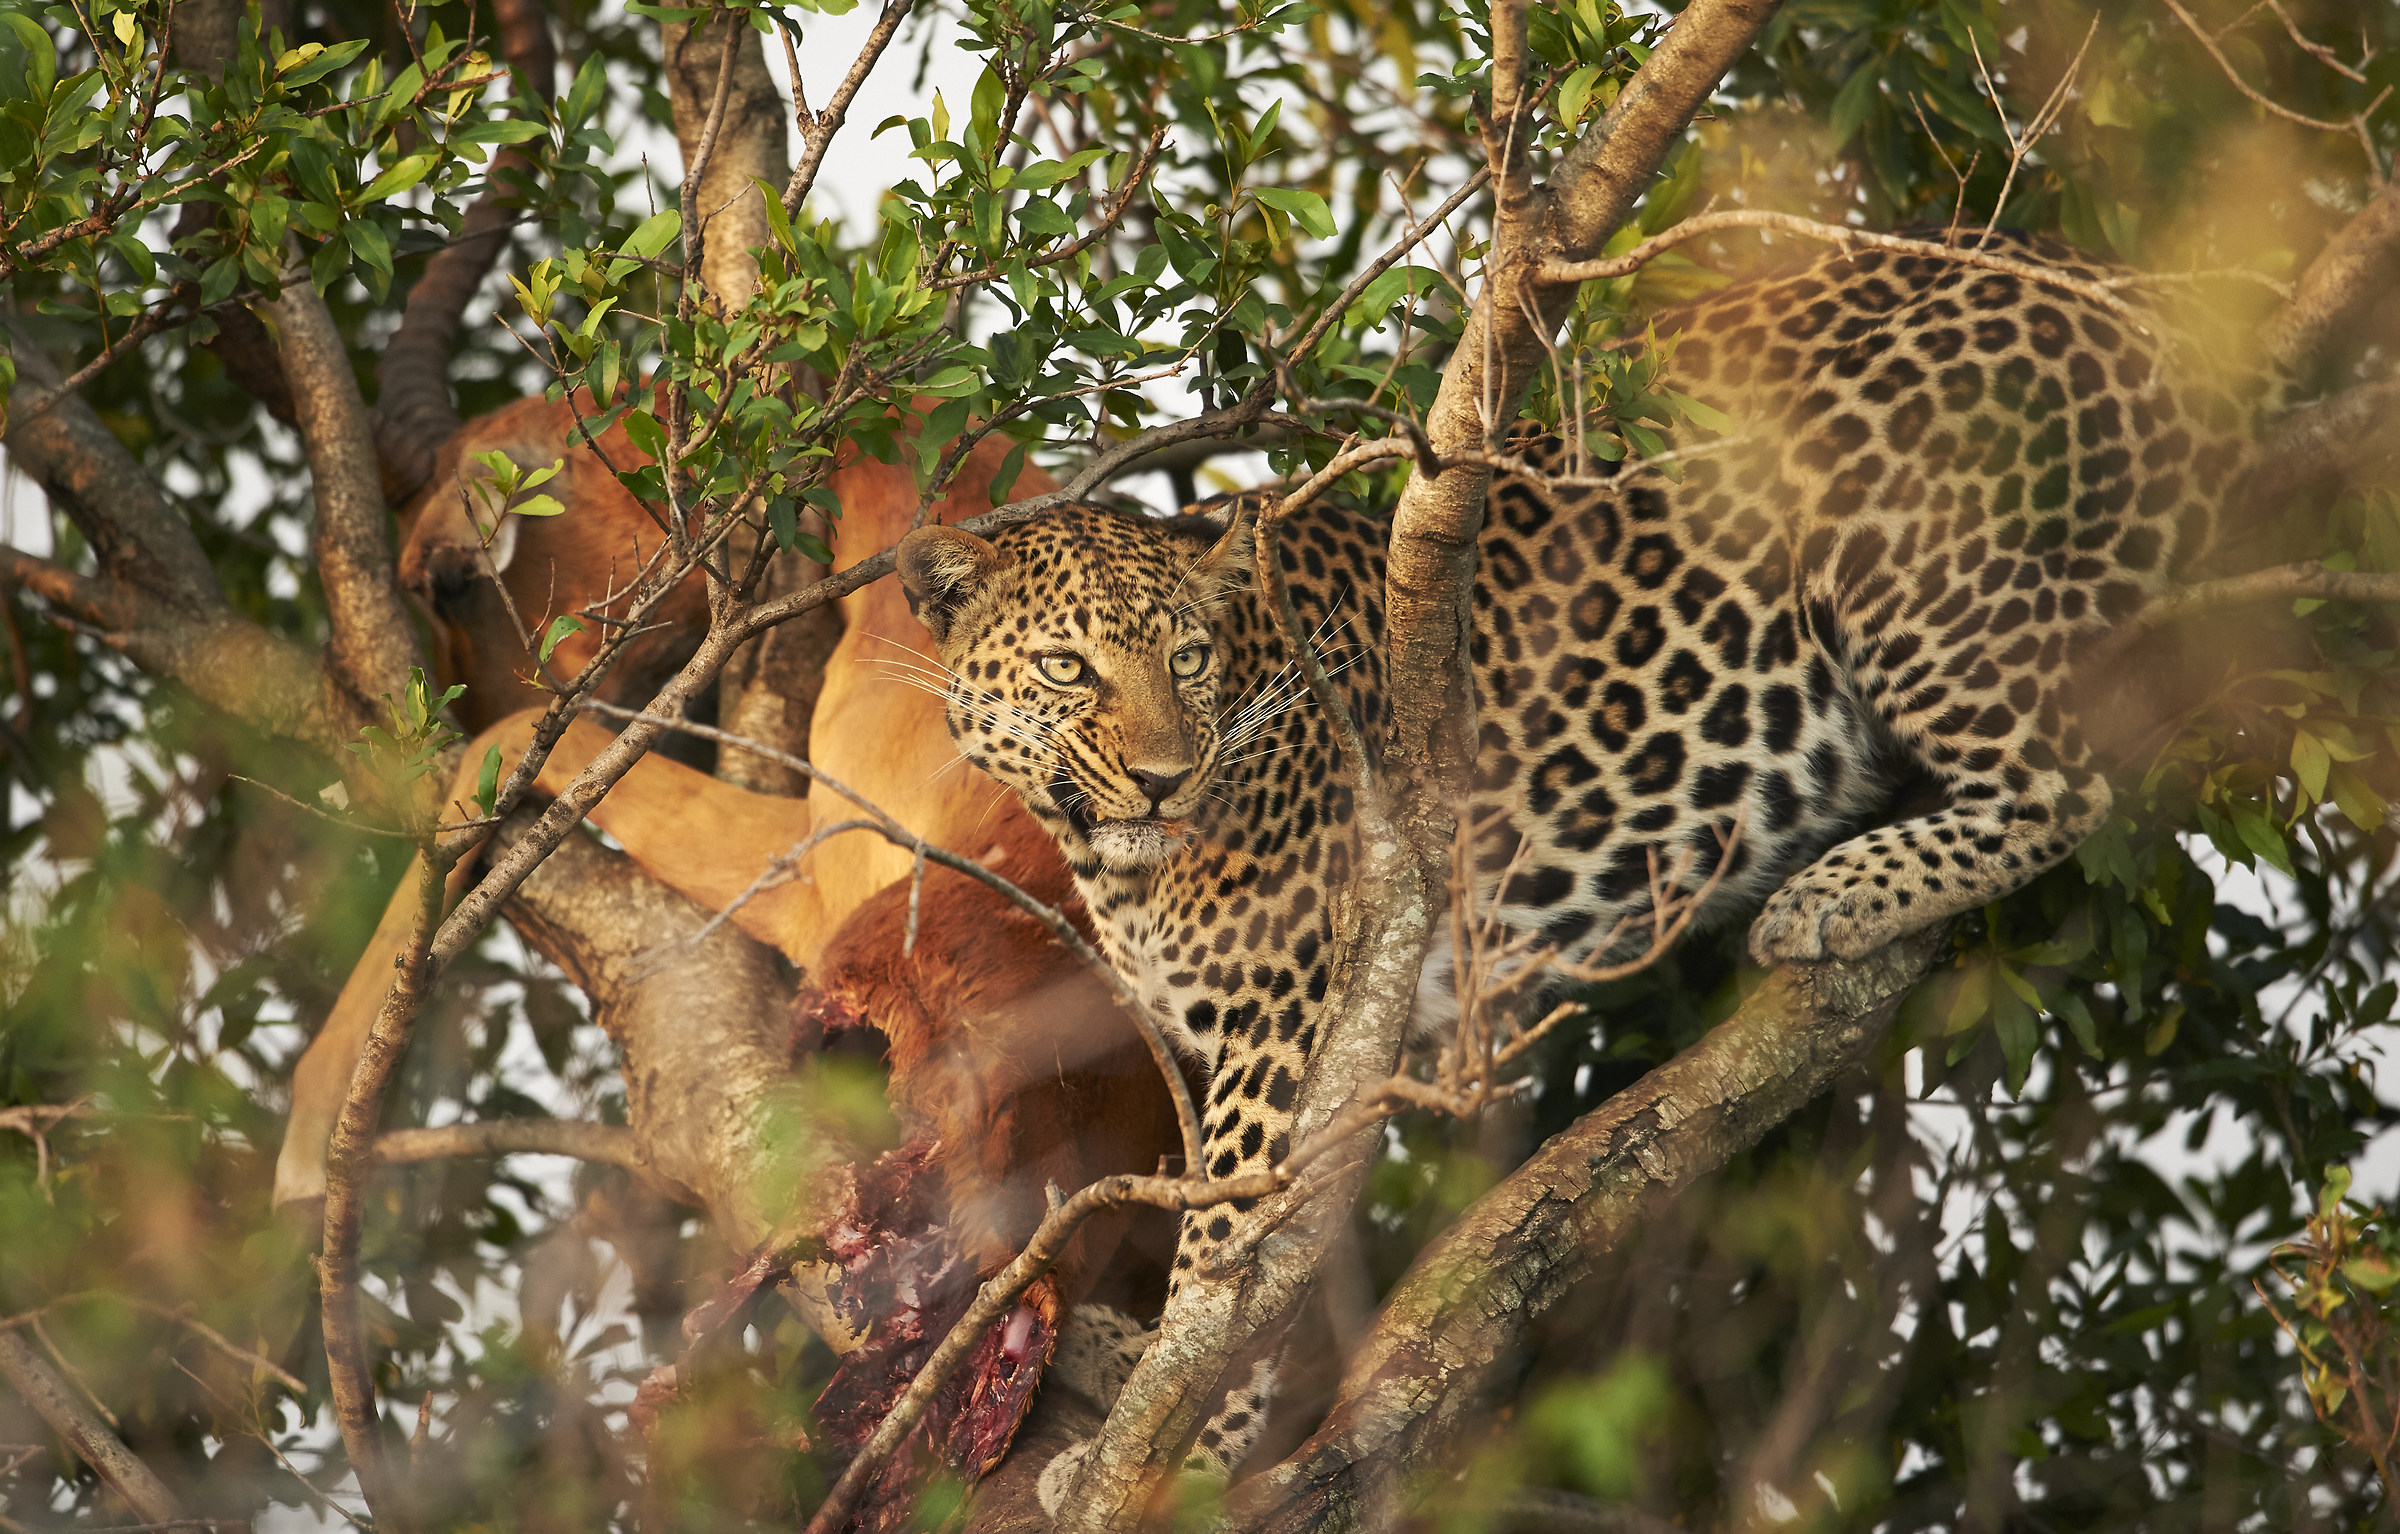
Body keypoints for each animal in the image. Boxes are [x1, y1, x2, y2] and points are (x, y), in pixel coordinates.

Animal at [894, 229, 2257, 1480]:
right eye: (1067, 668)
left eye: (1187, 660)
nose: (1167, 776)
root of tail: (2089, 273)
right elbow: (1267, 1257)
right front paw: (1128, 1367)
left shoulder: (1283, 1018)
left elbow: (1224, 1258)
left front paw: (1172, 1449)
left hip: (1906, 556)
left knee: (2069, 772)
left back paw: (1833, 895)